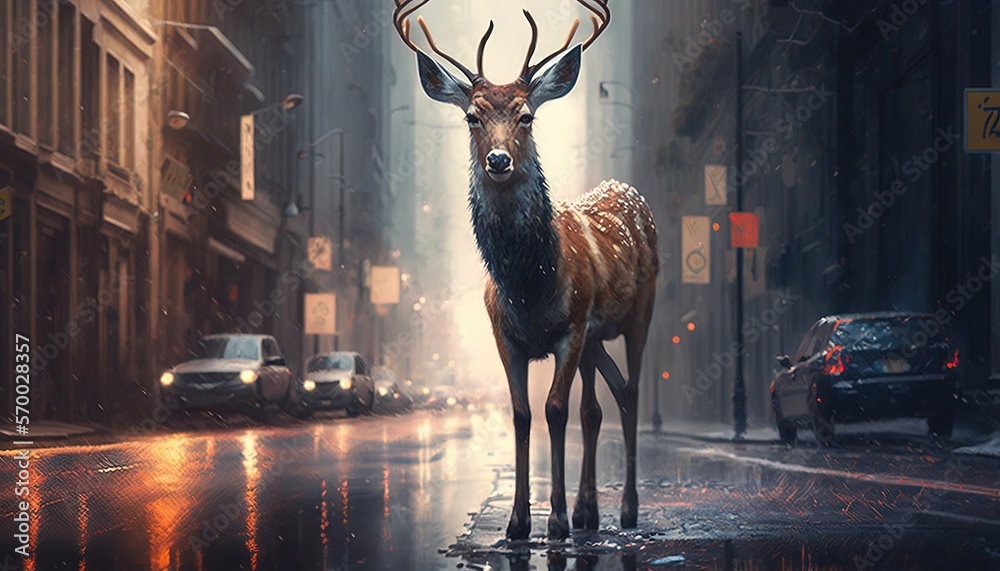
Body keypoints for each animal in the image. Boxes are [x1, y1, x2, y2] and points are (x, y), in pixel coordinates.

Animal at [392, 0, 658, 540]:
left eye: (527, 116)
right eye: (472, 117)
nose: (498, 160)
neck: (531, 284)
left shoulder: (572, 327)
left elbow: (555, 410)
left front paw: (554, 520)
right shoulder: (506, 334)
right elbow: (521, 414)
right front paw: (518, 521)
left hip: (640, 311)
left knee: (632, 391)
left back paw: (625, 511)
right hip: (597, 339)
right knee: (602, 403)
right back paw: (589, 512)